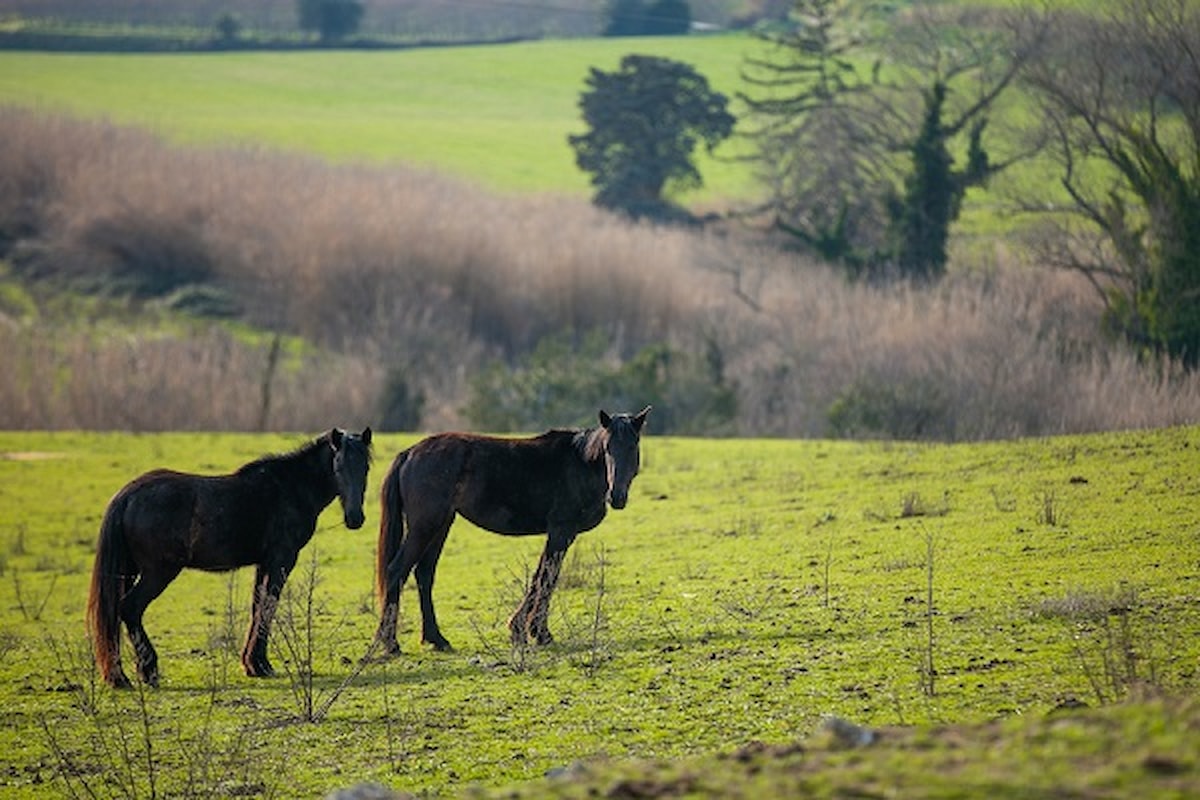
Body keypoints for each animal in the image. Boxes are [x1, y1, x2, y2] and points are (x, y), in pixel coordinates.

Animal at [87, 431, 369, 690]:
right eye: (338, 467)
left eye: (365, 468)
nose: (355, 518)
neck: (289, 487)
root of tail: (127, 496)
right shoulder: (281, 560)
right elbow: (268, 606)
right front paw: (259, 665)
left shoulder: (264, 564)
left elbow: (258, 606)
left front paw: (254, 663)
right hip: (158, 572)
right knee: (130, 608)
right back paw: (147, 671)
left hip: (130, 572)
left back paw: (120, 675)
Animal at [374, 410, 652, 652]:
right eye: (608, 448)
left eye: (632, 447)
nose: (616, 496)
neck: (580, 463)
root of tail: (410, 453)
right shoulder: (561, 531)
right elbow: (546, 577)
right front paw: (535, 632)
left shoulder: (561, 535)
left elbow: (542, 576)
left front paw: (527, 630)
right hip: (425, 527)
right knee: (397, 570)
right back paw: (391, 643)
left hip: (440, 525)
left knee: (424, 574)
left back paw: (436, 639)